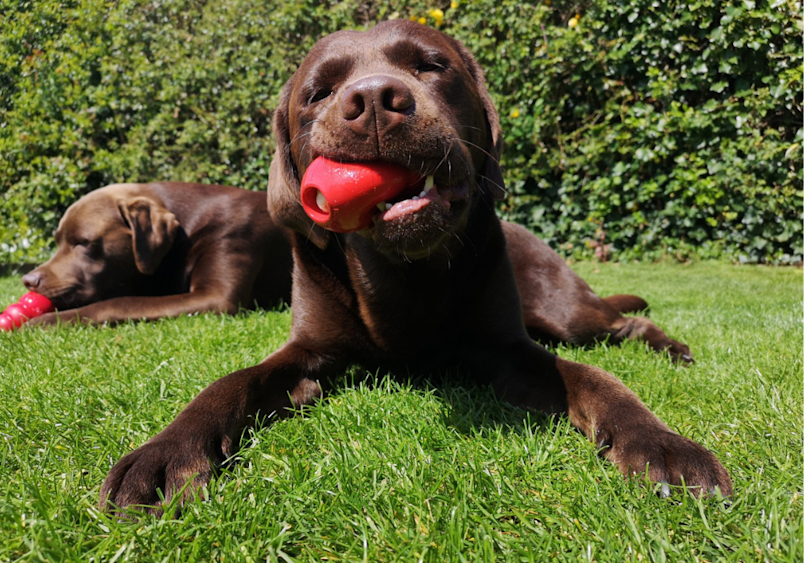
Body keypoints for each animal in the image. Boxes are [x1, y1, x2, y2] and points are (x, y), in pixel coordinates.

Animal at [99, 20, 728, 516]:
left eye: (430, 66)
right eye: (318, 92)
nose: (375, 99)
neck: (402, 274)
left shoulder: (511, 348)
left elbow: (598, 379)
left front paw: (662, 444)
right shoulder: (306, 351)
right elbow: (231, 381)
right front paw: (165, 453)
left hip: (564, 312)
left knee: (624, 324)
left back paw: (674, 350)